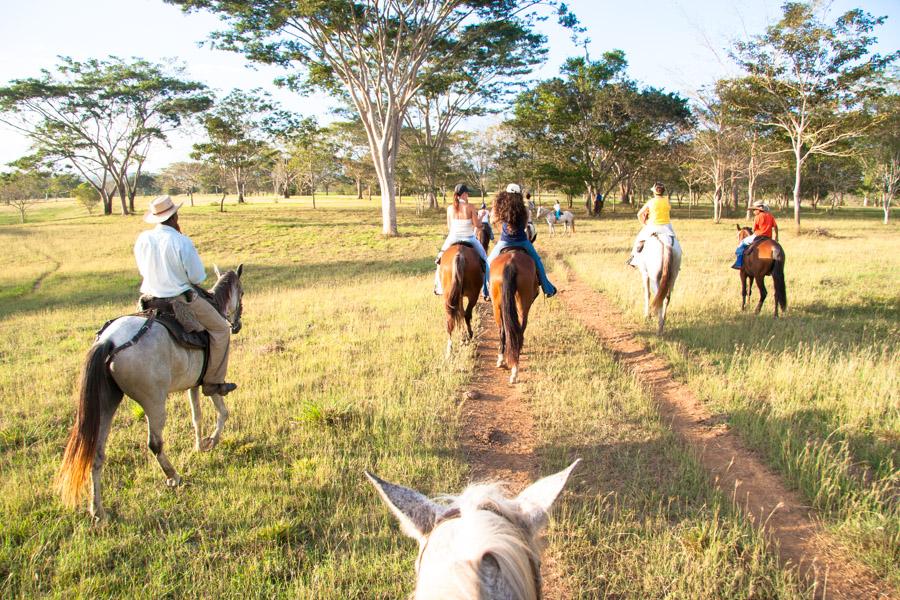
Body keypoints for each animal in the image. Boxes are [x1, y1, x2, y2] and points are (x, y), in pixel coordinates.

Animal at [488, 250, 536, 384]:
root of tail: (511, 263)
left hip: (497, 306)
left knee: (503, 331)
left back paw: (505, 362)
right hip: (522, 304)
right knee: (519, 330)